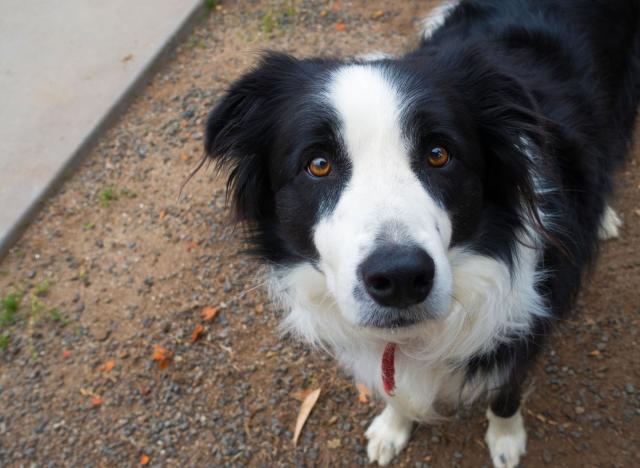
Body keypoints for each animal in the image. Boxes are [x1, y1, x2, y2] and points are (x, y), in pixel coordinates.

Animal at [201, 1, 640, 466]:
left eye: (438, 154)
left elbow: (506, 390)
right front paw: (392, 428)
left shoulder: (530, 321)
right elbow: (393, 386)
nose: (399, 278)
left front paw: (505, 440)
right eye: (318, 164)